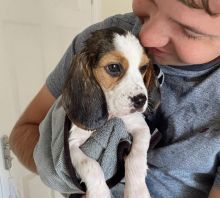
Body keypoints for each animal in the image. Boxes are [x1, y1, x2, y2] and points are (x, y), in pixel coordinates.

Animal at [62, 26, 160, 198]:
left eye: (143, 68)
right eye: (114, 67)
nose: (141, 100)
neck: (111, 114)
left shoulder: (141, 128)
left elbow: (136, 158)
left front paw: (137, 191)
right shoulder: (71, 144)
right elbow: (90, 165)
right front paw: (99, 193)